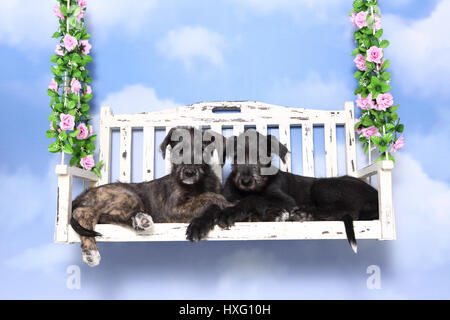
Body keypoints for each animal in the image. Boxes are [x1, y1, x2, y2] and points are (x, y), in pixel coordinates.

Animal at [73, 126, 232, 266]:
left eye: (202, 151)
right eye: (179, 151)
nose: (189, 173)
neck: (197, 185)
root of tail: (83, 195)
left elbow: (208, 203)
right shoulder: (172, 210)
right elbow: (206, 197)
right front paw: (224, 202)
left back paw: (141, 220)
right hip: (127, 195)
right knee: (84, 212)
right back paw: (91, 251)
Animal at [185, 130, 378, 252]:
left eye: (262, 157)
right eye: (237, 156)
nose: (246, 181)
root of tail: (375, 195)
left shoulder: (284, 200)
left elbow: (254, 199)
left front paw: (231, 213)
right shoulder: (227, 198)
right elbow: (213, 207)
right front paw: (198, 224)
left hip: (323, 186)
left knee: (348, 212)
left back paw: (302, 214)